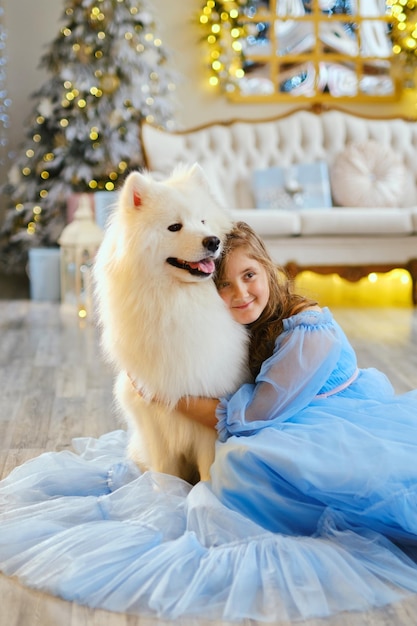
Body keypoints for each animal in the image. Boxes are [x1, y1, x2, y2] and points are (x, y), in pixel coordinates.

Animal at [94, 162, 249, 482]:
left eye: (202, 221)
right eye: (174, 227)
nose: (213, 241)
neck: (178, 300)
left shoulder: (209, 416)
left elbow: (207, 470)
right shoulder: (154, 419)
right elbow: (164, 473)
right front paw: (165, 495)